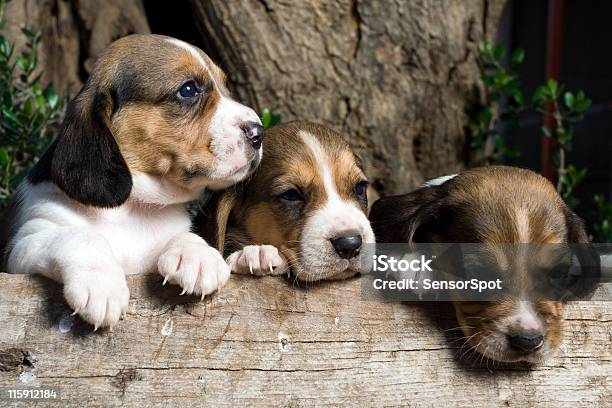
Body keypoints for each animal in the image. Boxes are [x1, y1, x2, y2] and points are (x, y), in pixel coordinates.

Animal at [2, 33, 266, 330]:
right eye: (188, 90)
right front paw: (101, 284)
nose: (259, 133)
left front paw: (197, 256)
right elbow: (79, 235)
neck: (132, 207)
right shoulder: (25, 243)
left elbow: (184, 235)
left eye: (224, 85)